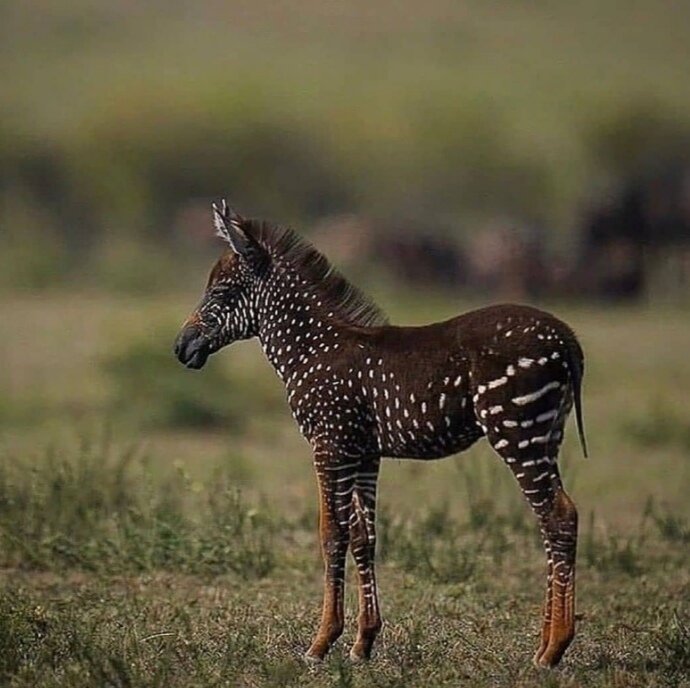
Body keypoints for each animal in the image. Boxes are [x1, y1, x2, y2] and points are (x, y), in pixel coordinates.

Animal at [173, 202, 584, 668]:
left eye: (221, 293)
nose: (181, 347)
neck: (312, 348)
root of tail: (566, 337)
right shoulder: (364, 452)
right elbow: (363, 538)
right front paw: (363, 641)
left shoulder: (329, 445)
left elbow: (331, 534)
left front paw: (321, 642)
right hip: (545, 437)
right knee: (552, 520)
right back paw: (545, 643)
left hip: (517, 434)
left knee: (559, 516)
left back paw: (553, 649)